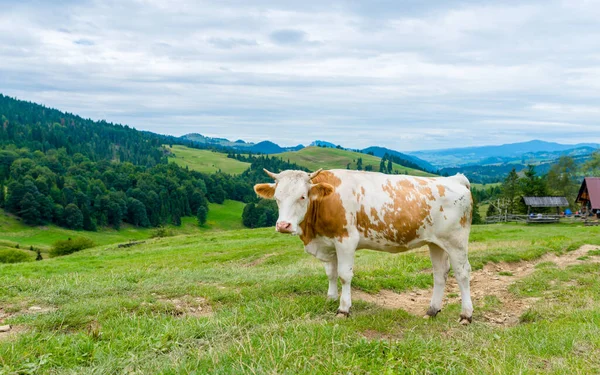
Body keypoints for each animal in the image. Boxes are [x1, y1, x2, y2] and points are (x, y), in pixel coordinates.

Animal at [253, 169, 474, 324]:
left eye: (302, 196)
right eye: (277, 198)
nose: (283, 225)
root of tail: (454, 179)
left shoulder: (346, 240)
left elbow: (344, 275)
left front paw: (343, 309)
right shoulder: (328, 242)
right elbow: (331, 273)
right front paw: (331, 298)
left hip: (456, 241)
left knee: (462, 273)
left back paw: (466, 315)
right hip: (435, 243)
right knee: (440, 273)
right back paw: (432, 310)